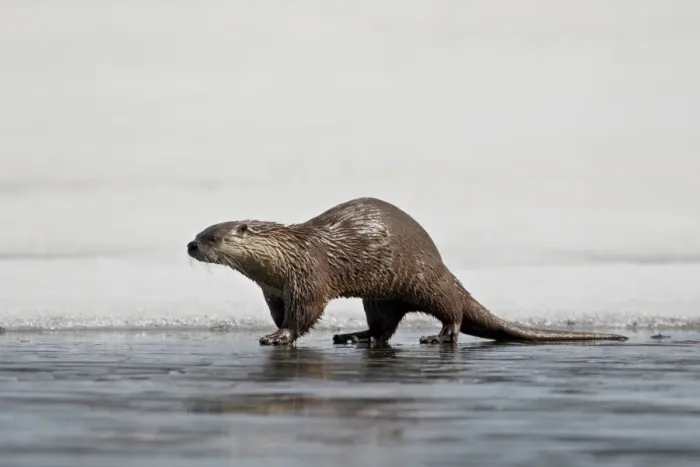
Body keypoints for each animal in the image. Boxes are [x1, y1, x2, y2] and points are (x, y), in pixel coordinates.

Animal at [187, 197, 628, 346]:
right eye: (198, 232)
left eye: (213, 237)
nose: (190, 245)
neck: (285, 257)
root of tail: (439, 262)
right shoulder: (274, 289)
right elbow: (282, 312)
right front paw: (277, 328)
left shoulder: (308, 277)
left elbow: (304, 314)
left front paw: (279, 336)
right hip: (378, 295)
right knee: (383, 326)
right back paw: (355, 336)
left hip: (421, 279)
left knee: (453, 309)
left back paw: (438, 336)